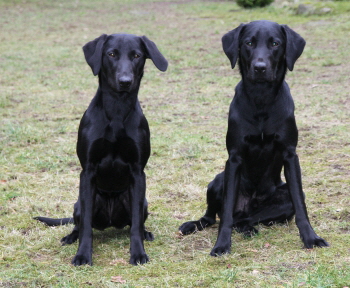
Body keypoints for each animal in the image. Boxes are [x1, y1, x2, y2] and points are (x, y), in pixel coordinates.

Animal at [35, 33, 168, 266]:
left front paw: (138, 253)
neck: (117, 109)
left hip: (142, 203)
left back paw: (146, 233)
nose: (125, 81)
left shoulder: (138, 172)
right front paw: (82, 255)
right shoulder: (87, 172)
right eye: (111, 54)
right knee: (79, 224)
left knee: (137, 222)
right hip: (79, 204)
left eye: (137, 56)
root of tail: (111, 222)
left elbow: (135, 225)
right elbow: (86, 227)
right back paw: (70, 236)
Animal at [179, 20, 330, 255]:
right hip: (218, 179)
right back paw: (194, 225)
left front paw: (310, 238)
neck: (261, 99)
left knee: (248, 219)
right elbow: (225, 215)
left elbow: (301, 206)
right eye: (248, 43)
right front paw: (221, 244)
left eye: (275, 43)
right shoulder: (234, 158)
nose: (260, 67)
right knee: (214, 217)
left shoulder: (290, 155)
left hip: (279, 197)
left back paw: (248, 228)